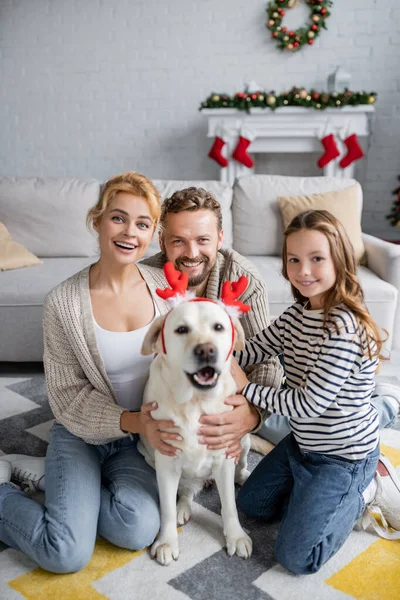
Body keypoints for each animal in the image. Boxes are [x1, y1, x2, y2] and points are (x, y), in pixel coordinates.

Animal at [137, 264, 250, 568]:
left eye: (219, 327)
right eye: (181, 329)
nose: (207, 350)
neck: (195, 404)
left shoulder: (223, 456)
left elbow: (230, 506)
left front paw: (236, 536)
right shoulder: (165, 461)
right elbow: (165, 506)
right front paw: (166, 541)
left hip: (244, 440)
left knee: (242, 461)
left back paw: (243, 475)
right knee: (186, 491)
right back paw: (183, 507)